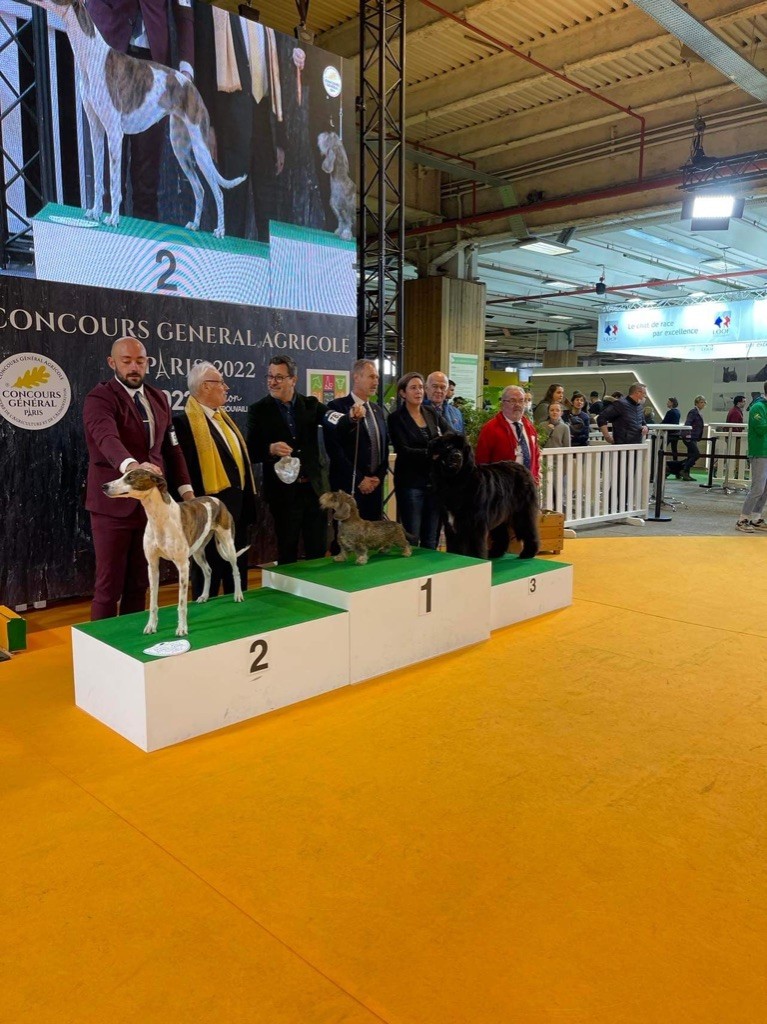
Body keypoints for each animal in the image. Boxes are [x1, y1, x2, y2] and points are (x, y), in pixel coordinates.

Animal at [29, 0, 242, 235]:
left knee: (218, 191)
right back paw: (195, 224)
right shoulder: (96, 128)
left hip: (200, 147)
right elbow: (98, 179)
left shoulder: (114, 132)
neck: (92, 57)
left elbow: (114, 183)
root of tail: (189, 85)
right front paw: (94, 213)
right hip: (180, 148)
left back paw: (220, 231)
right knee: (200, 189)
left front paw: (113, 219)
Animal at [103, 468, 246, 630]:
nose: (104, 486)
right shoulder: (152, 566)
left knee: (235, 569)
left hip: (228, 543)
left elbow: (182, 603)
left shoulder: (183, 565)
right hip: (198, 552)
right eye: (123, 474)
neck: (159, 518)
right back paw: (204, 596)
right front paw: (151, 626)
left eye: (131, 477)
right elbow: (153, 602)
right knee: (208, 570)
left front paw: (182, 628)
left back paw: (238, 595)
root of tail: (217, 500)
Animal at [430, 432, 536, 561]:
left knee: (528, 529)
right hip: (500, 514)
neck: (456, 481)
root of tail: (522, 467)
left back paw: (528, 553)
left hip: (522, 512)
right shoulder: (451, 525)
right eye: (448, 446)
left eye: (462, 449)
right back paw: (495, 553)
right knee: (502, 535)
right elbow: (454, 545)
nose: (457, 456)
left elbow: (475, 546)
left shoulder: (474, 524)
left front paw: (477, 559)